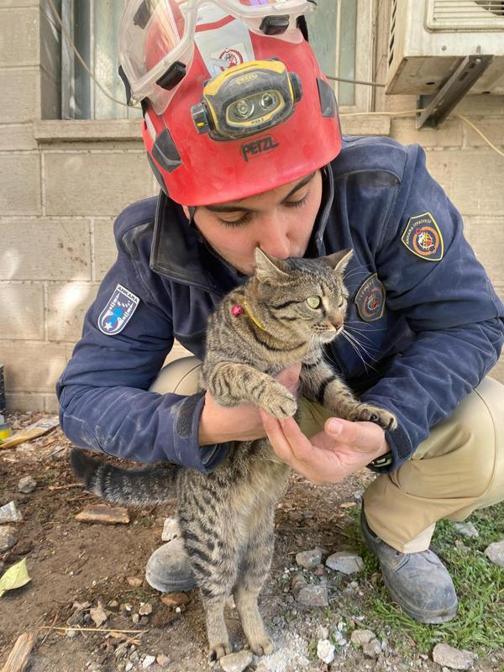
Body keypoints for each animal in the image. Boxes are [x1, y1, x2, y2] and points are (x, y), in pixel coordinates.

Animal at [71, 248, 396, 660]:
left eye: (342, 301)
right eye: (314, 302)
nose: (339, 324)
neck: (286, 345)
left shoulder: (315, 369)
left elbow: (338, 394)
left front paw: (368, 413)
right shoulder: (220, 372)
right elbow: (247, 375)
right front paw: (275, 395)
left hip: (261, 548)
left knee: (245, 593)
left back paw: (257, 636)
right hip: (212, 547)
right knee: (214, 595)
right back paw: (220, 642)